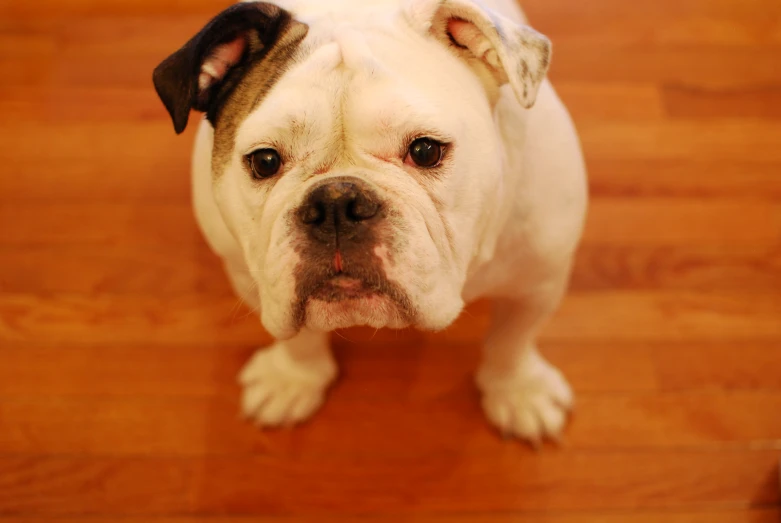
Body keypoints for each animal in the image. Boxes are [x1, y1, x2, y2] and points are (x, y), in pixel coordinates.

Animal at [154, 0, 584, 444]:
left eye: (426, 151)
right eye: (265, 161)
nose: (337, 203)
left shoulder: (537, 282)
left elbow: (512, 339)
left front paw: (519, 391)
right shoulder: (252, 279)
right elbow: (298, 340)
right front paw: (293, 379)